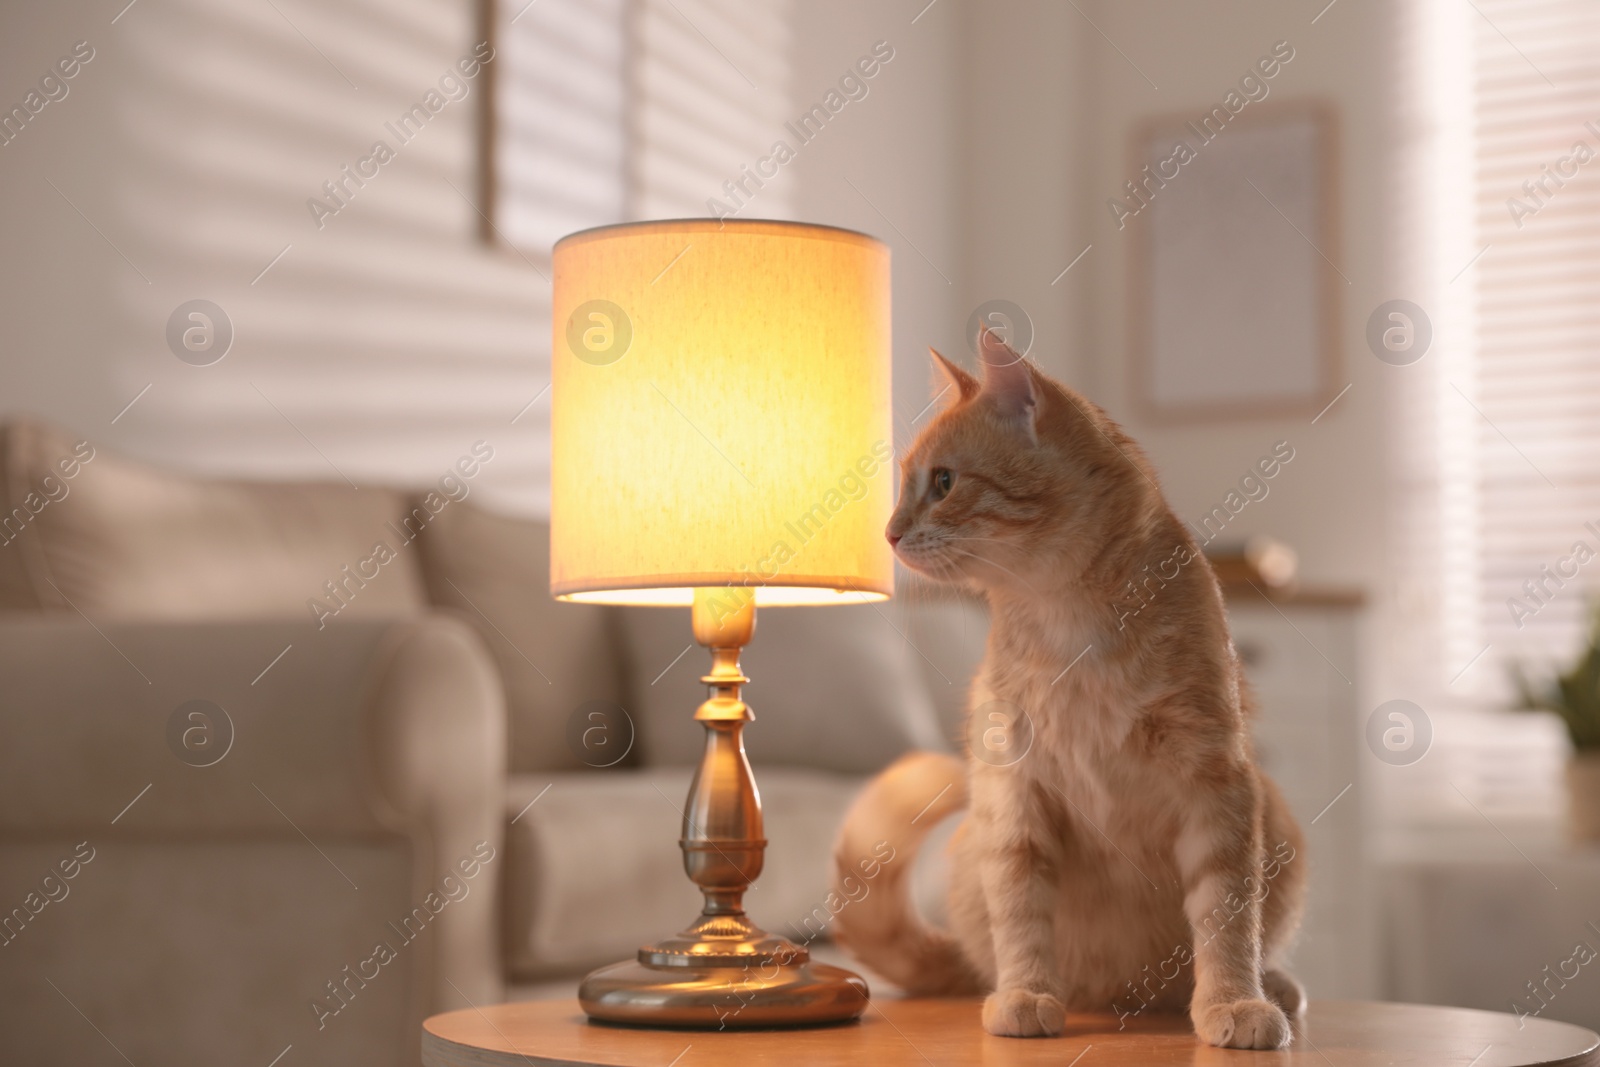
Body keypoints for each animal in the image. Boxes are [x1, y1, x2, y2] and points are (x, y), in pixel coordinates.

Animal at [832, 334, 1305, 1049]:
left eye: (942, 483)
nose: (888, 533)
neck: (1069, 626)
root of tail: (1129, 993)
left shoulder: (1217, 780)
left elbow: (1226, 913)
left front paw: (1233, 1000)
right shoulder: (1012, 790)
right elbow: (1021, 907)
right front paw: (1025, 993)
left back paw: (1268, 984)